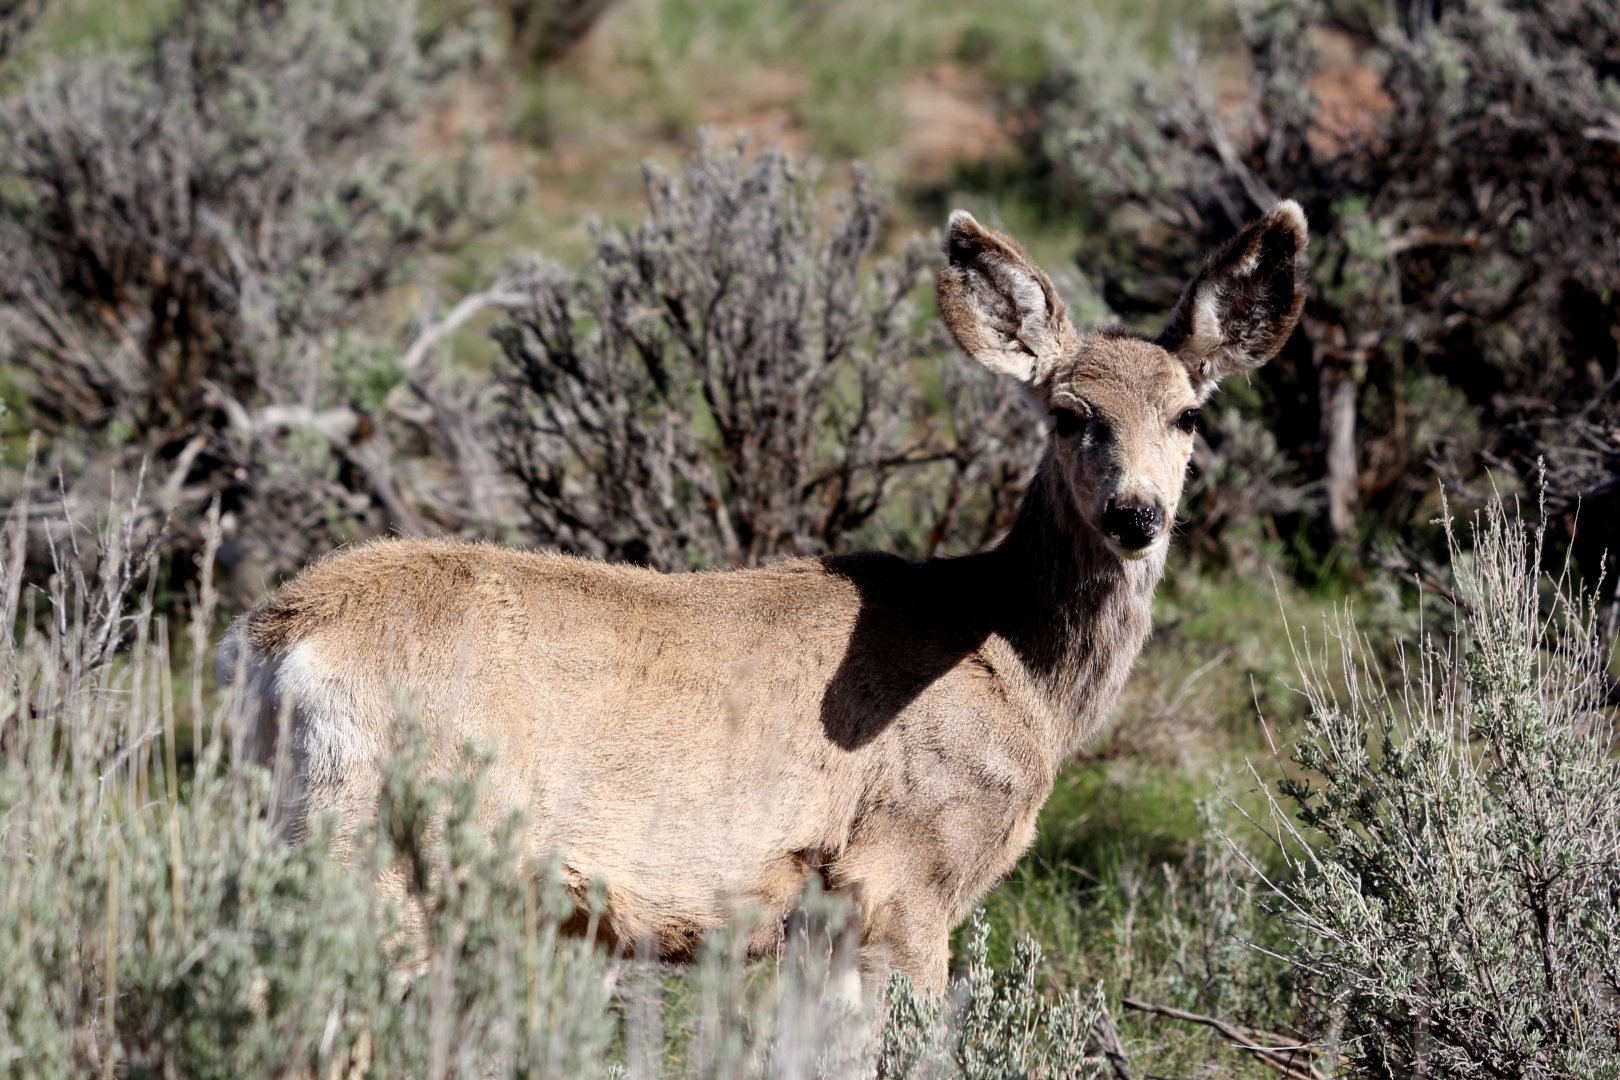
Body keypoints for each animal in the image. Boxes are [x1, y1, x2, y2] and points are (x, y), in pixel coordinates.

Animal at [220, 200, 1308, 997]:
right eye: (1070, 415)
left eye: (1188, 415)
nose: (1136, 514)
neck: (1015, 663)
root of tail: (272, 642)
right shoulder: (907, 870)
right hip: (375, 843)